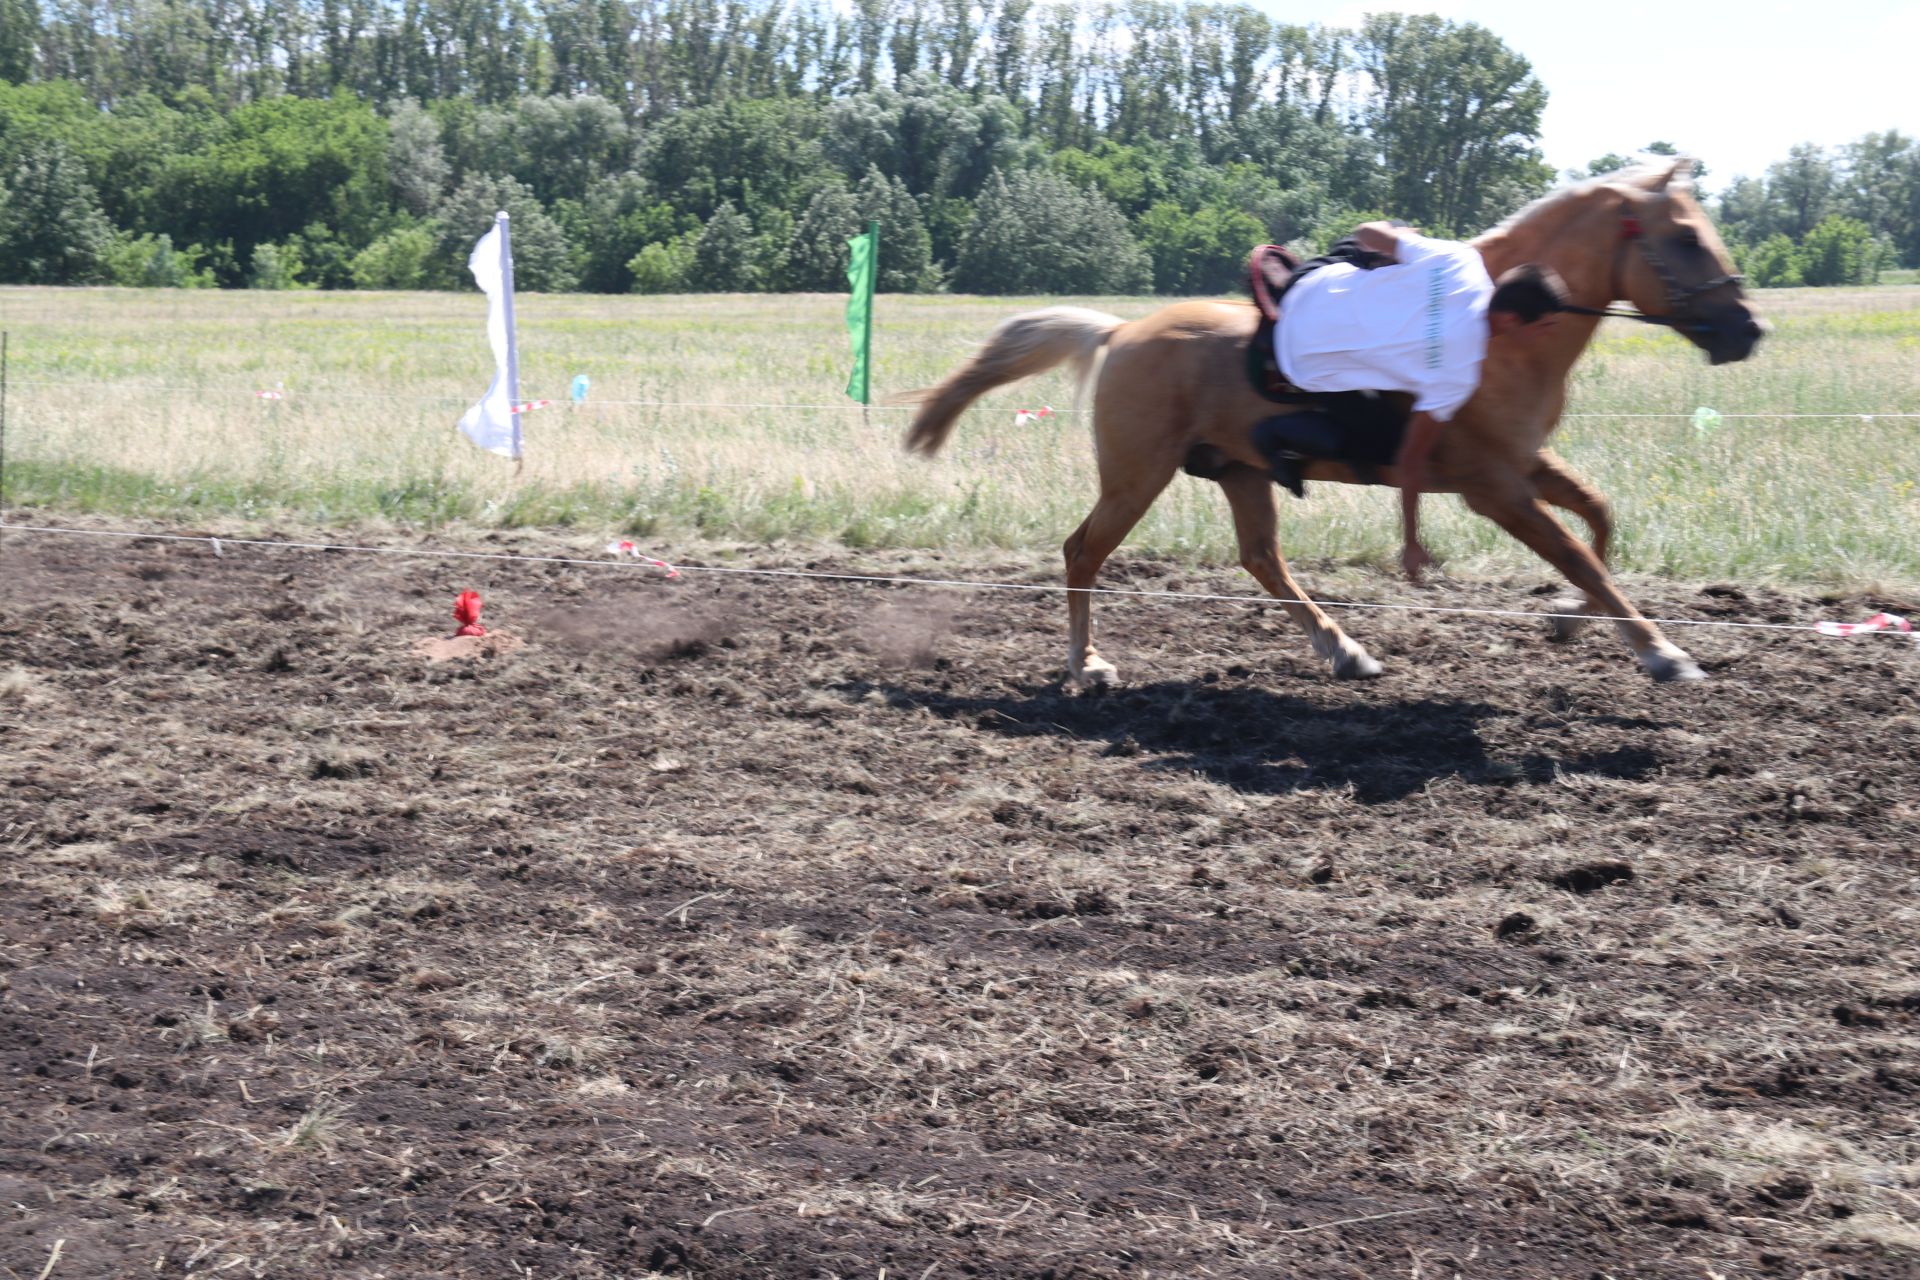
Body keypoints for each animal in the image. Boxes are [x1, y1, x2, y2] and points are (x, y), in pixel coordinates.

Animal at [906, 161, 1758, 690]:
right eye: (1685, 237)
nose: (1748, 329)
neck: (1498, 326)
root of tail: (1118, 334)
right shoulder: (1492, 487)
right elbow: (1581, 556)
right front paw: (1661, 652)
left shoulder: (1523, 464)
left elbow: (1599, 526)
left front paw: (1570, 623)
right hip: (1136, 475)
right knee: (1084, 552)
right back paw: (1087, 666)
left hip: (1239, 471)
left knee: (1261, 559)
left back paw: (1344, 650)